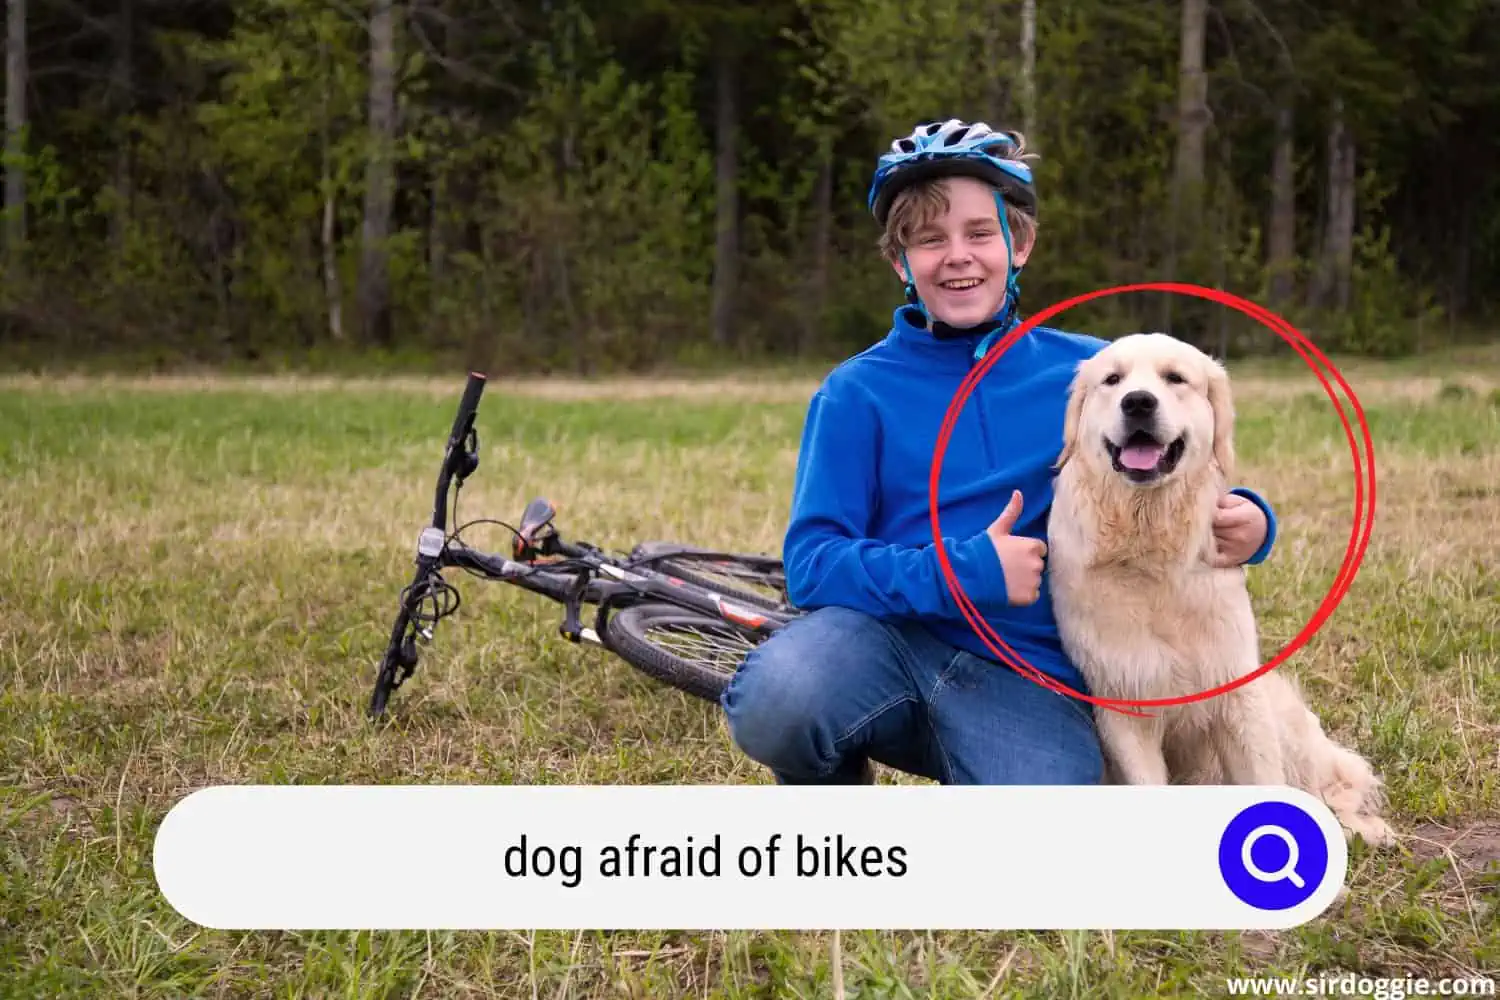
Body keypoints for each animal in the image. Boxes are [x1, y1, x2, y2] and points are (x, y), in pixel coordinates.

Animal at [1044, 334, 1392, 845]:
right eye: (1113, 380)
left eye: (1175, 378)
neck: (1151, 543)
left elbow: (1266, 783)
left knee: (1330, 786)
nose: (1138, 402)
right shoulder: (1123, 703)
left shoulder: (1237, 692)